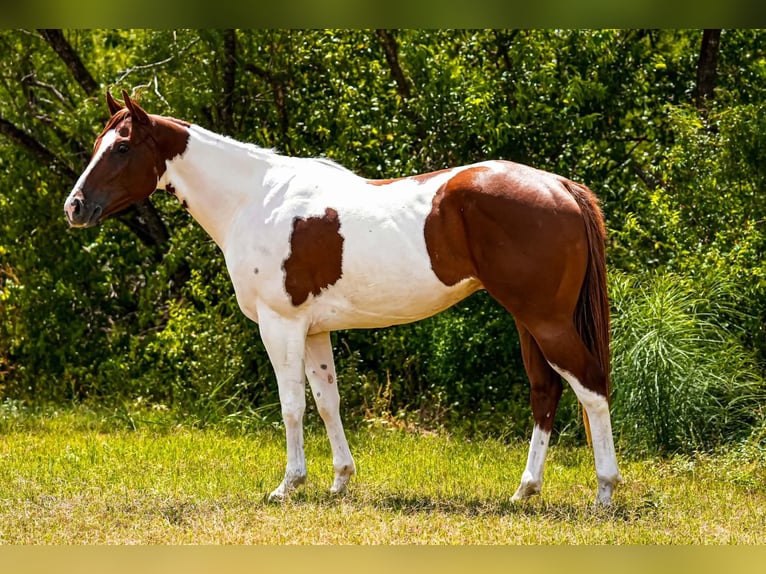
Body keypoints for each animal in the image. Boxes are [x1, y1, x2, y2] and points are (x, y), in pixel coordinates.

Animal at [64, 91, 621, 505]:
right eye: (97, 142)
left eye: (121, 148)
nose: (75, 207)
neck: (255, 199)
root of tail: (558, 186)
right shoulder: (315, 330)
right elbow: (327, 401)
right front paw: (339, 481)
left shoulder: (280, 324)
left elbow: (292, 404)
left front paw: (287, 486)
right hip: (529, 320)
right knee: (545, 393)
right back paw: (524, 491)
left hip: (545, 320)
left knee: (591, 387)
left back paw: (604, 492)